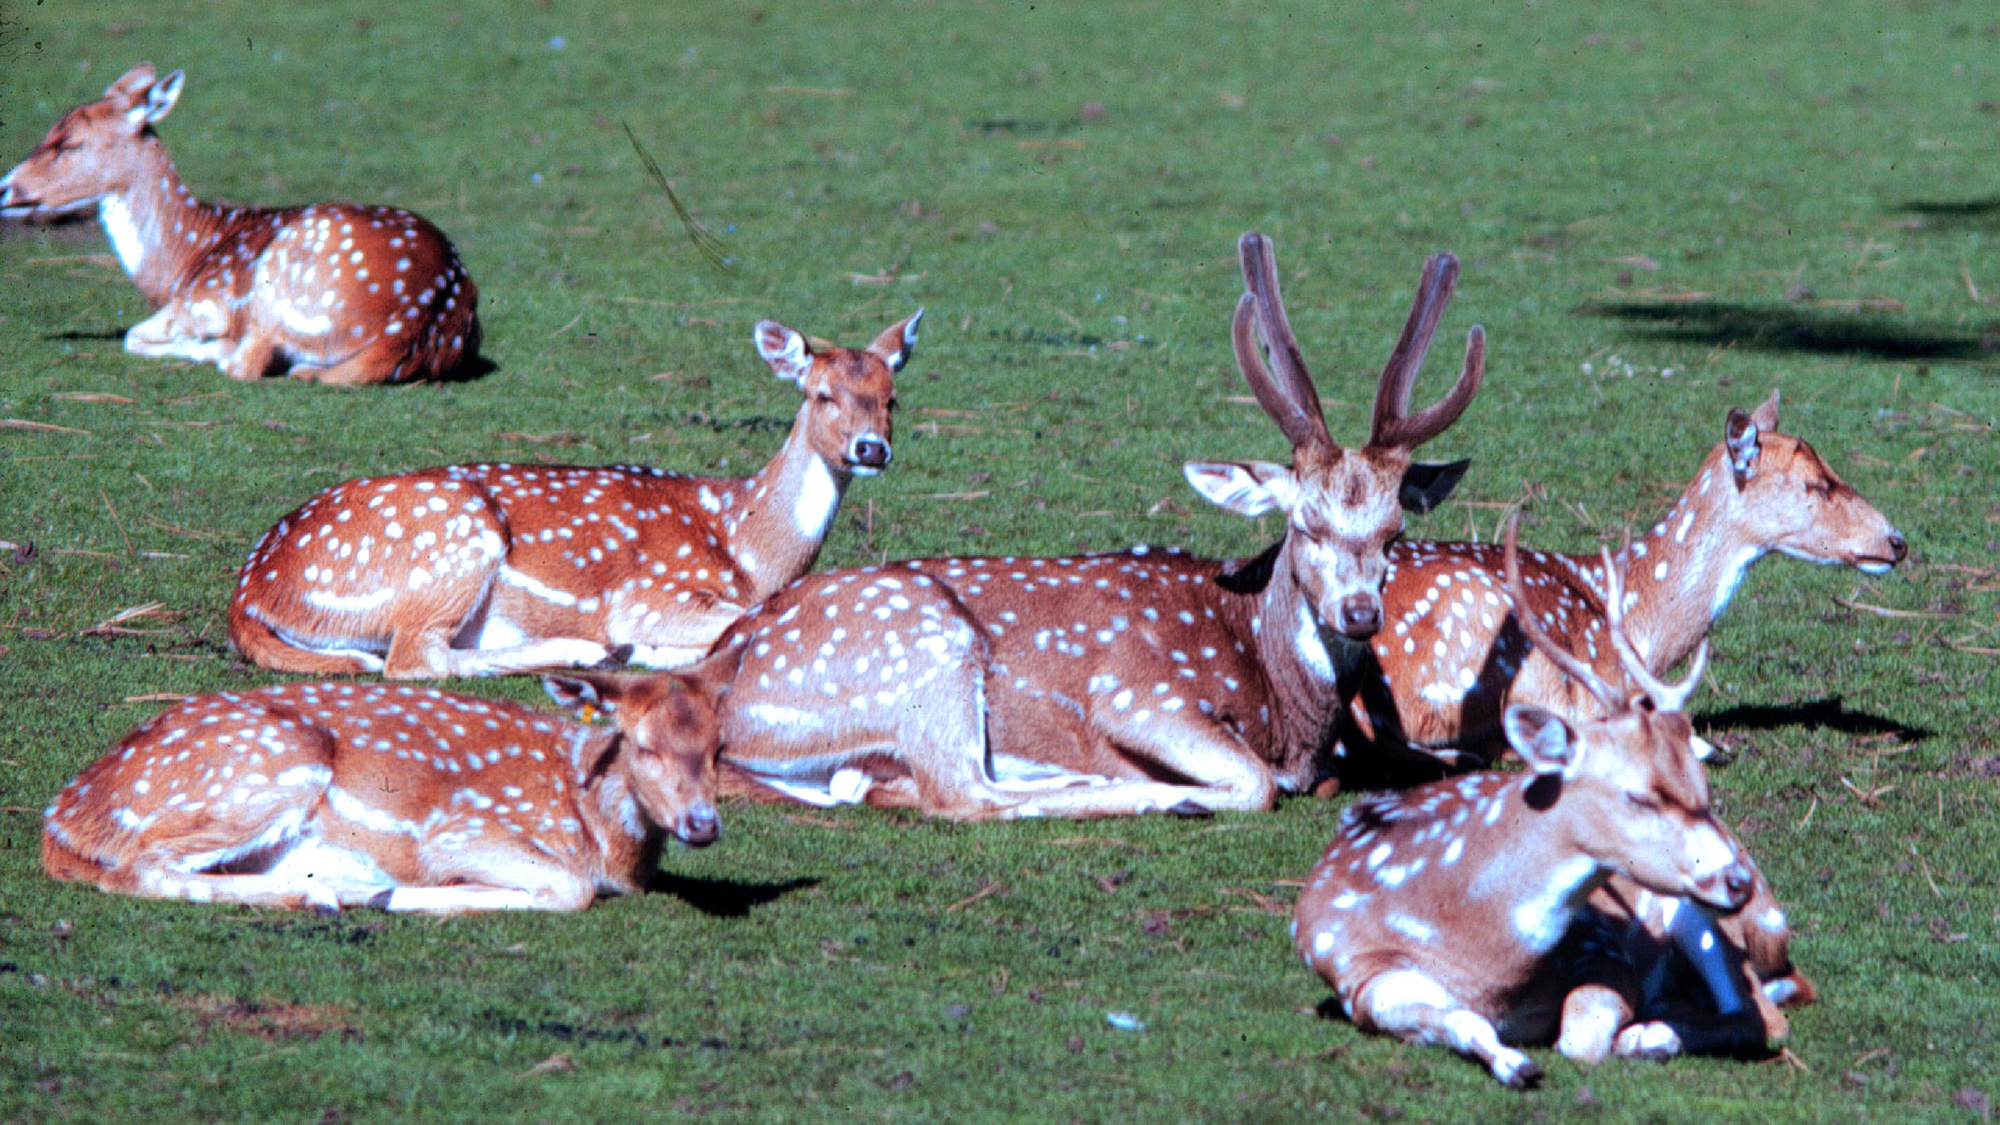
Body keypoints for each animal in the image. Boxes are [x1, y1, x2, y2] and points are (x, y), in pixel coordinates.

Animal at [0, 63, 480, 384]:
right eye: (49, 131)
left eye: (71, 144)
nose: (5, 188)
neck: (180, 264)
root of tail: (412, 322)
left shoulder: (204, 302)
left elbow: (133, 336)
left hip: (283, 286)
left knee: (245, 362)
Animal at [39, 656, 740, 912]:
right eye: (642, 744)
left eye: (719, 748)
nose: (703, 824)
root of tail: (62, 819)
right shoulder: (458, 828)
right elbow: (571, 888)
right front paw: (415, 895)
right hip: (269, 767)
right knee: (138, 869)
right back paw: (336, 892)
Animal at [225, 306, 920, 672]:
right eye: (821, 394)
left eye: (892, 398)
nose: (871, 449)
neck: (746, 547)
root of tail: (252, 593)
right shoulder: (651, 593)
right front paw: (653, 649)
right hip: (456, 537)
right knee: (415, 659)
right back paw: (593, 650)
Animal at [716, 234, 1488, 812]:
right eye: (1306, 525)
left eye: (1394, 531)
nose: (1359, 612)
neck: (1286, 707)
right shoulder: (1138, 693)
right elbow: (1255, 781)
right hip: (932, 645)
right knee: (962, 791)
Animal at [1288, 512, 1760, 1080]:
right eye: (1639, 796)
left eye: (1700, 788)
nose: (1738, 878)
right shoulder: (1359, 973)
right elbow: (1464, 1021)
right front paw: (1518, 1065)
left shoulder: (1605, 950)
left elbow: (1581, 1038)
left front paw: (1636, 1034)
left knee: (1755, 1013)